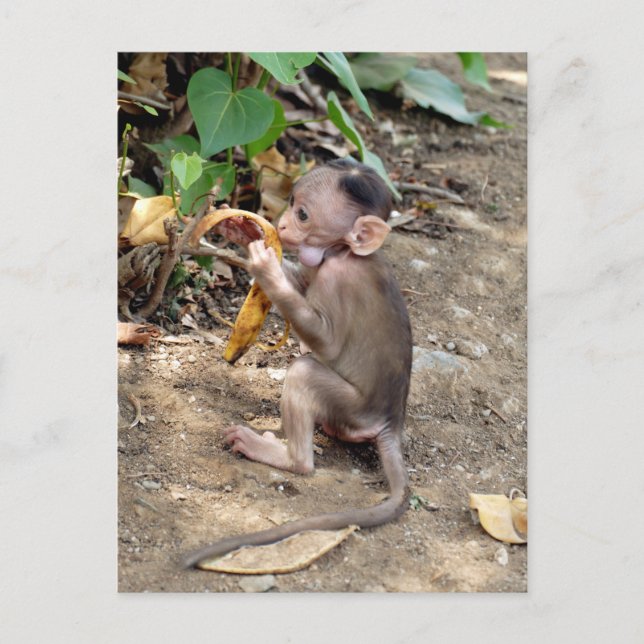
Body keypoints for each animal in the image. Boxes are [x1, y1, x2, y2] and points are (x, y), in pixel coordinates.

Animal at [182, 159, 413, 568]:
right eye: (290, 204)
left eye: (303, 214)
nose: (283, 224)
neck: (343, 252)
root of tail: (390, 421)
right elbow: (302, 283)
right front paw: (242, 229)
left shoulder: (338, 278)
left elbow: (326, 341)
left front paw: (266, 269)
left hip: (354, 410)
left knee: (305, 373)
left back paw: (286, 457)